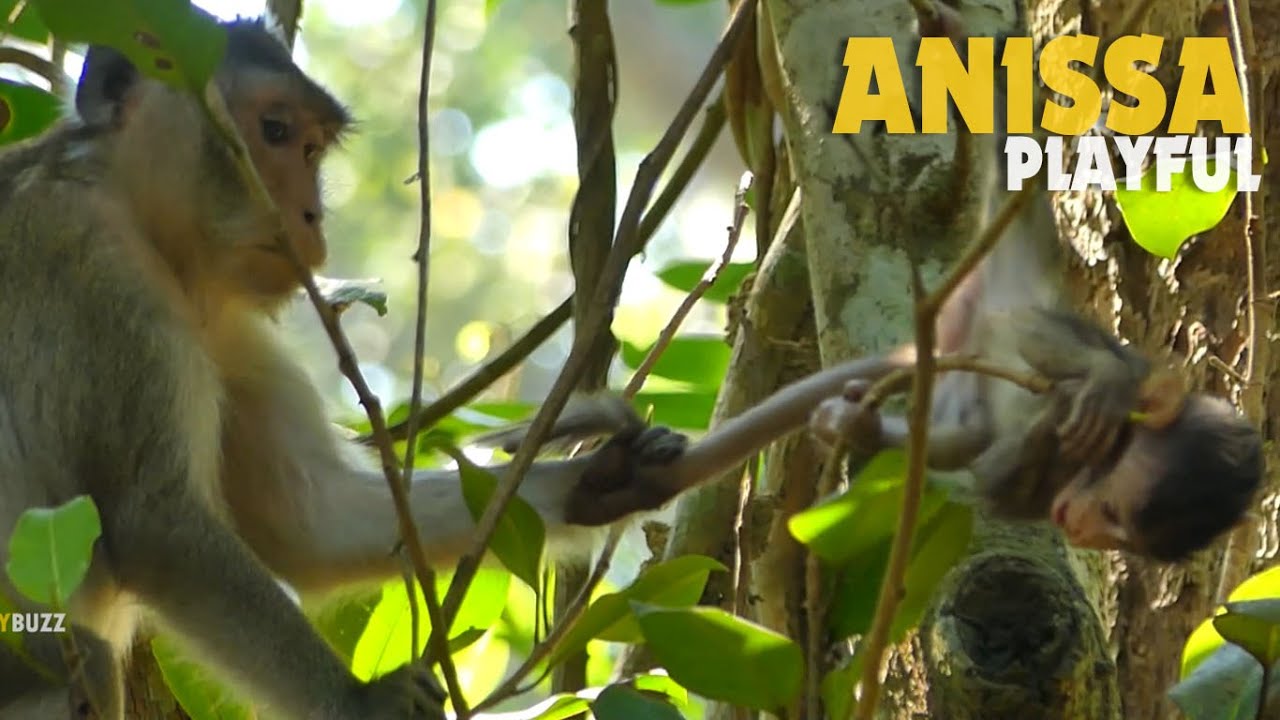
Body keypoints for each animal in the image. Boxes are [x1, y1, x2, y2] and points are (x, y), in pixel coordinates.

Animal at [0, 17, 680, 720]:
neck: (144, 223)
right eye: (273, 130)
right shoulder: (88, 267)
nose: (310, 215)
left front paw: (599, 477)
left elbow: (313, 524)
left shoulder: (232, 334)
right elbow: (153, 523)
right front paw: (360, 702)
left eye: (311, 150)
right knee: (90, 660)